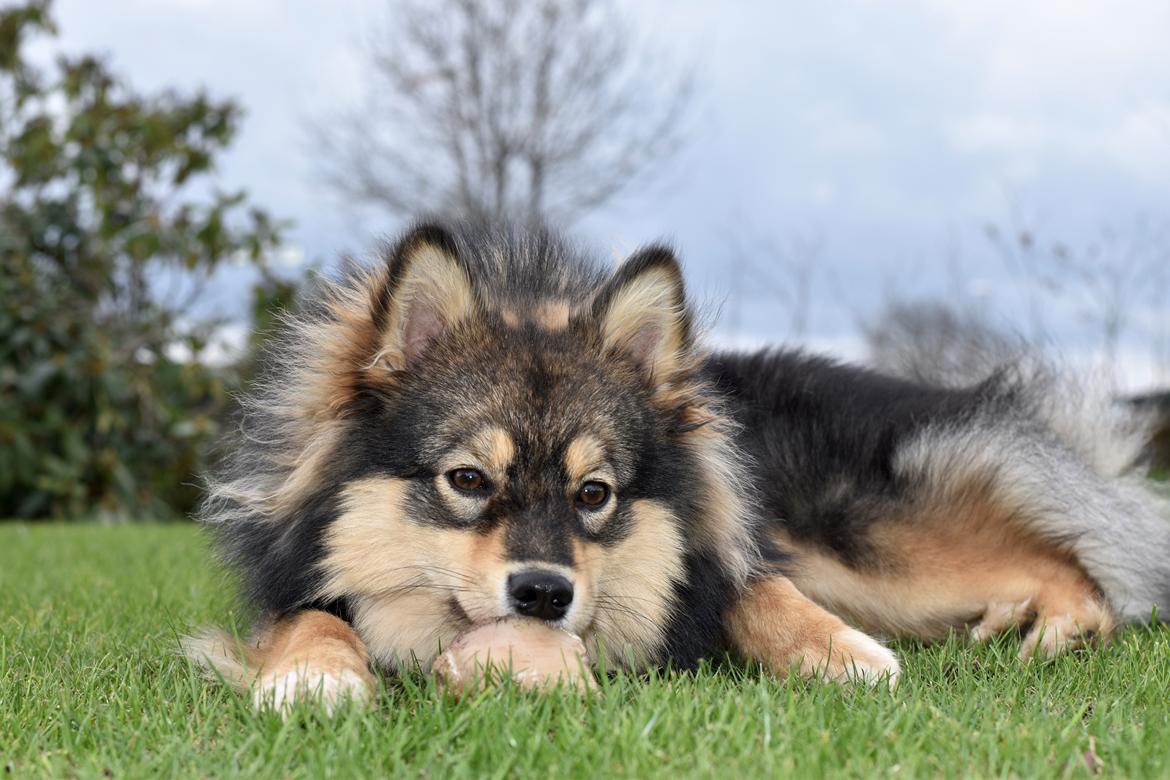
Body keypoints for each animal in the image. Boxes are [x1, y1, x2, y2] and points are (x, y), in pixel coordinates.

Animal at [182, 221, 1170, 715]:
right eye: (468, 481)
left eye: (595, 494)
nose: (544, 594)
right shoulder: (294, 584)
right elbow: (311, 621)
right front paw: (315, 675)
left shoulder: (730, 554)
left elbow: (760, 591)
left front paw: (838, 653)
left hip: (879, 556)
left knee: (1084, 558)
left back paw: (1053, 619)